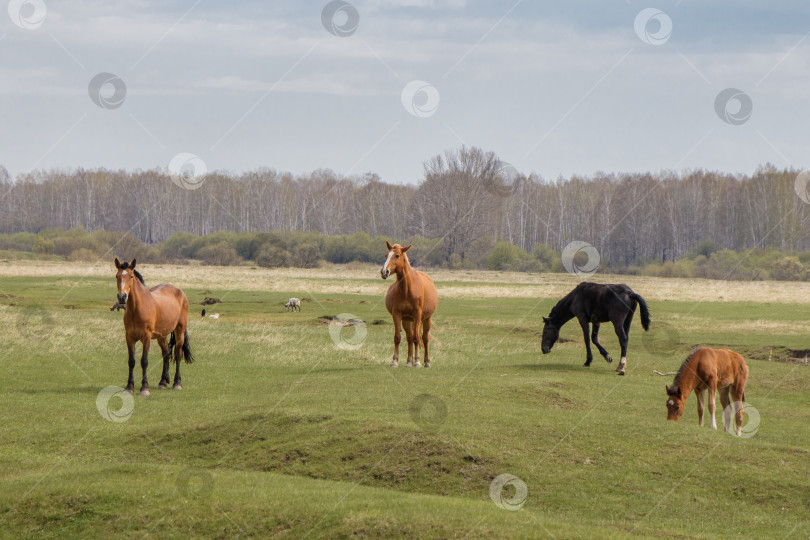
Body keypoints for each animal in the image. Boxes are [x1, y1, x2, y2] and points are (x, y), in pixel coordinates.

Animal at [113, 260, 193, 394]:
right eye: (117, 276)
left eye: (131, 276)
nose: (122, 297)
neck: (136, 309)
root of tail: (180, 292)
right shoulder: (129, 337)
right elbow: (131, 361)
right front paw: (129, 387)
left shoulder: (146, 337)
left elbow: (144, 361)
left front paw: (144, 388)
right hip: (162, 335)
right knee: (166, 353)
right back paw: (163, 382)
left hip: (180, 330)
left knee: (178, 353)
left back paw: (177, 383)